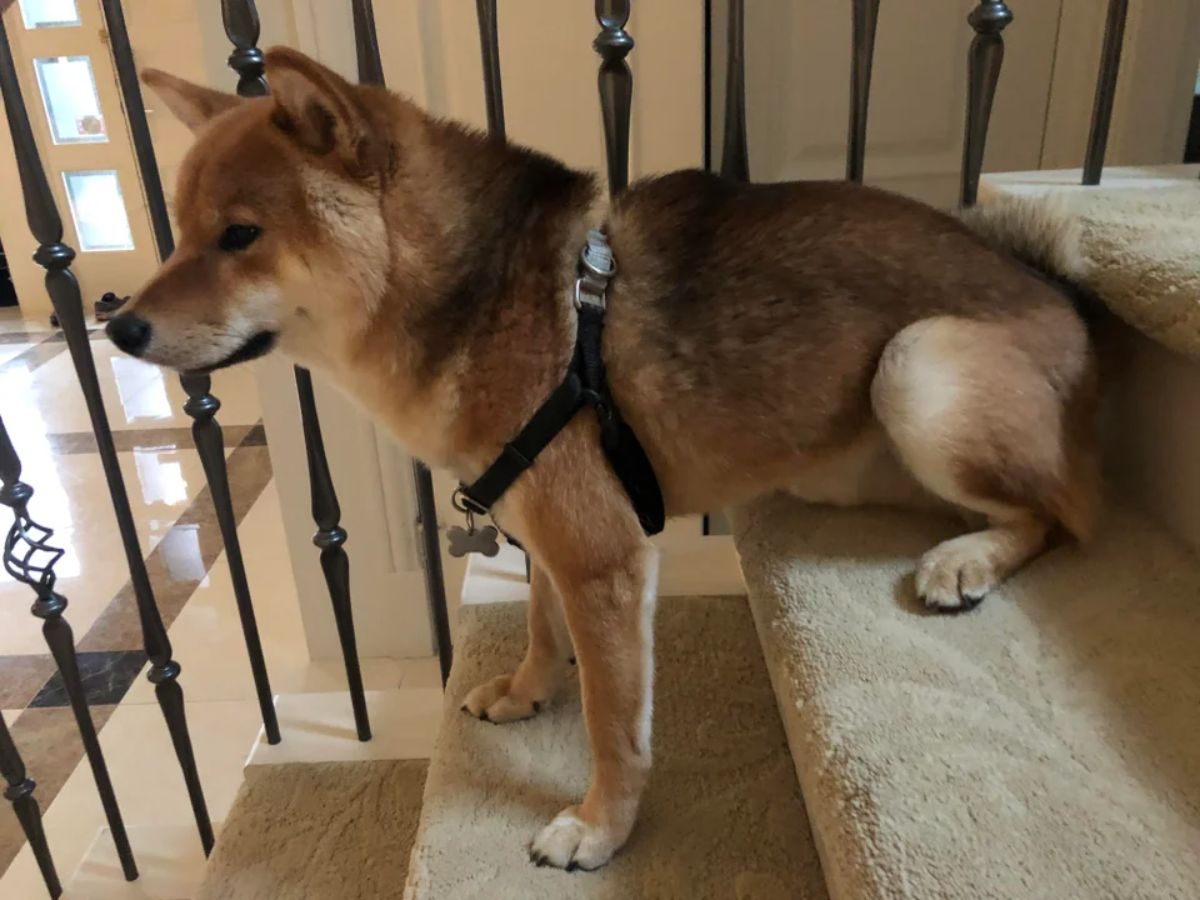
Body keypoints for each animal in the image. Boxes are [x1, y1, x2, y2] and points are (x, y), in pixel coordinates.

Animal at [112, 47, 1099, 873]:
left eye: (239, 236)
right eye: (179, 231)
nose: (117, 327)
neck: (484, 298)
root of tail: (1060, 297)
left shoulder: (604, 561)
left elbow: (613, 724)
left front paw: (600, 828)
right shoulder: (546, 533)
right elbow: (542, 626)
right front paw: (526, 692)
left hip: (915, 368)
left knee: (1060, 515)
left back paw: (968, 560)